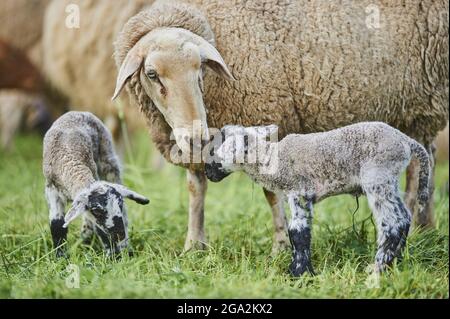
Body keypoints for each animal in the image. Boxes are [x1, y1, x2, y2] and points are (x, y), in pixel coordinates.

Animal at [41, 112, 149, 258]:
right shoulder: (52, 191)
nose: (120, 234)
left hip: (108, 161)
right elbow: (57, 225)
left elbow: (101, 230)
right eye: (97, 210)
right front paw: (60, 257)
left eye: (120, 204)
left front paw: (114, 256)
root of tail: (79, 112)